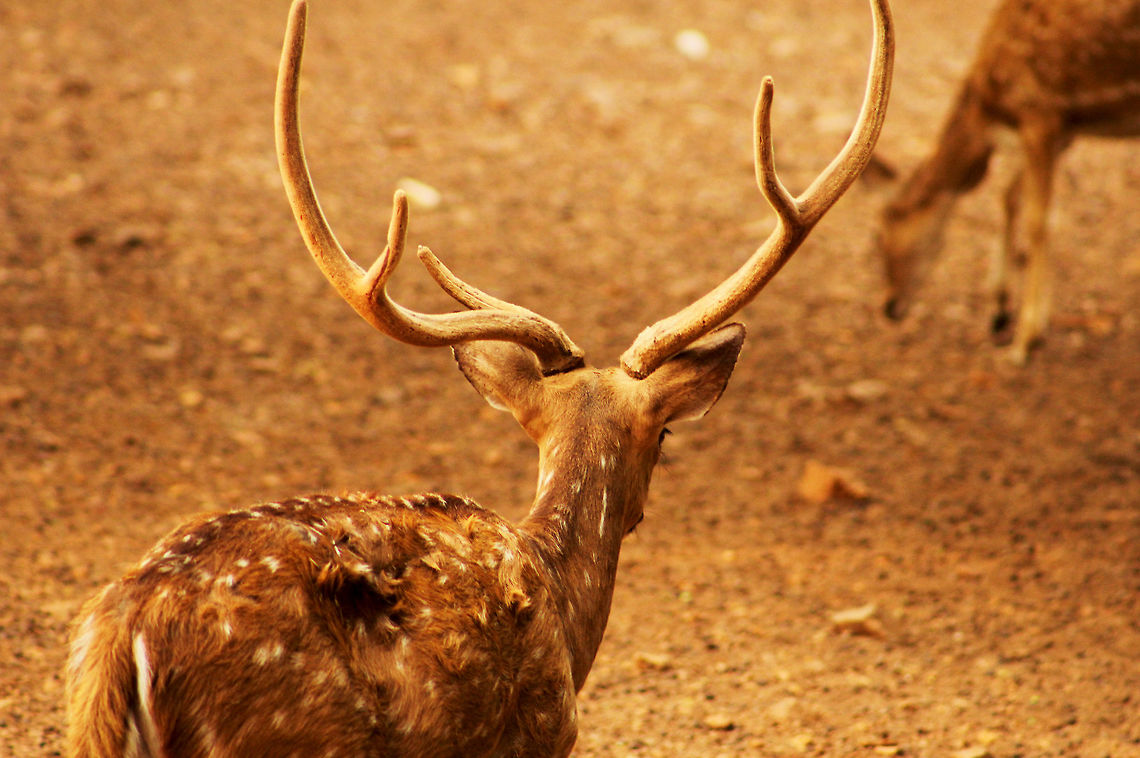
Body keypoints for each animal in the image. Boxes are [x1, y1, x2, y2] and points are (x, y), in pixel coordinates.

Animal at [64, 0, 893, 755]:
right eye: (661, 436)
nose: (640, 510)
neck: (563, 607)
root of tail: (125, 635)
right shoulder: (541, 734)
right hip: (282, 737)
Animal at [876, 0, 1140, 364]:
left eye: (880, 234)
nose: (889, 306)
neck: (991, 112)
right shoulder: (1064, 130)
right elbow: (1011, 196)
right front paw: (1002, 309)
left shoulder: (1041, 112)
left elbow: (1038, 221)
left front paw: (1025, 340)